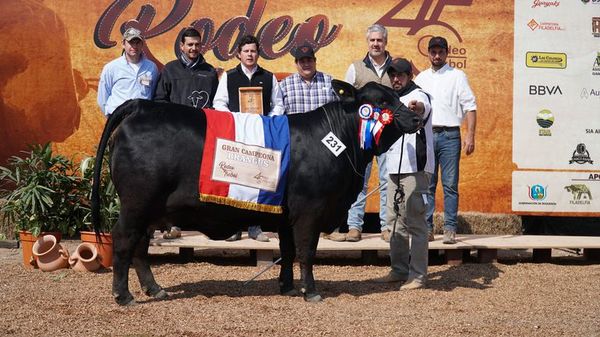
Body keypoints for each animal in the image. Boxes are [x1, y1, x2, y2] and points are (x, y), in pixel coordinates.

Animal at [92, 80, 422, 304]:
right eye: (381, 101)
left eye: (398, 95)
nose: (417, 118)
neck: (336, 141)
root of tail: (142, 105)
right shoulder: (310, 210)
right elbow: (306, 251)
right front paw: (311, 291)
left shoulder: (288, 215)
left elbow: (287, 251)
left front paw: (287, 286)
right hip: (136, 203)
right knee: (124, 239)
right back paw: (123, 295)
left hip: (150, 209)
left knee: (140, 246)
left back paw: (154, 289)